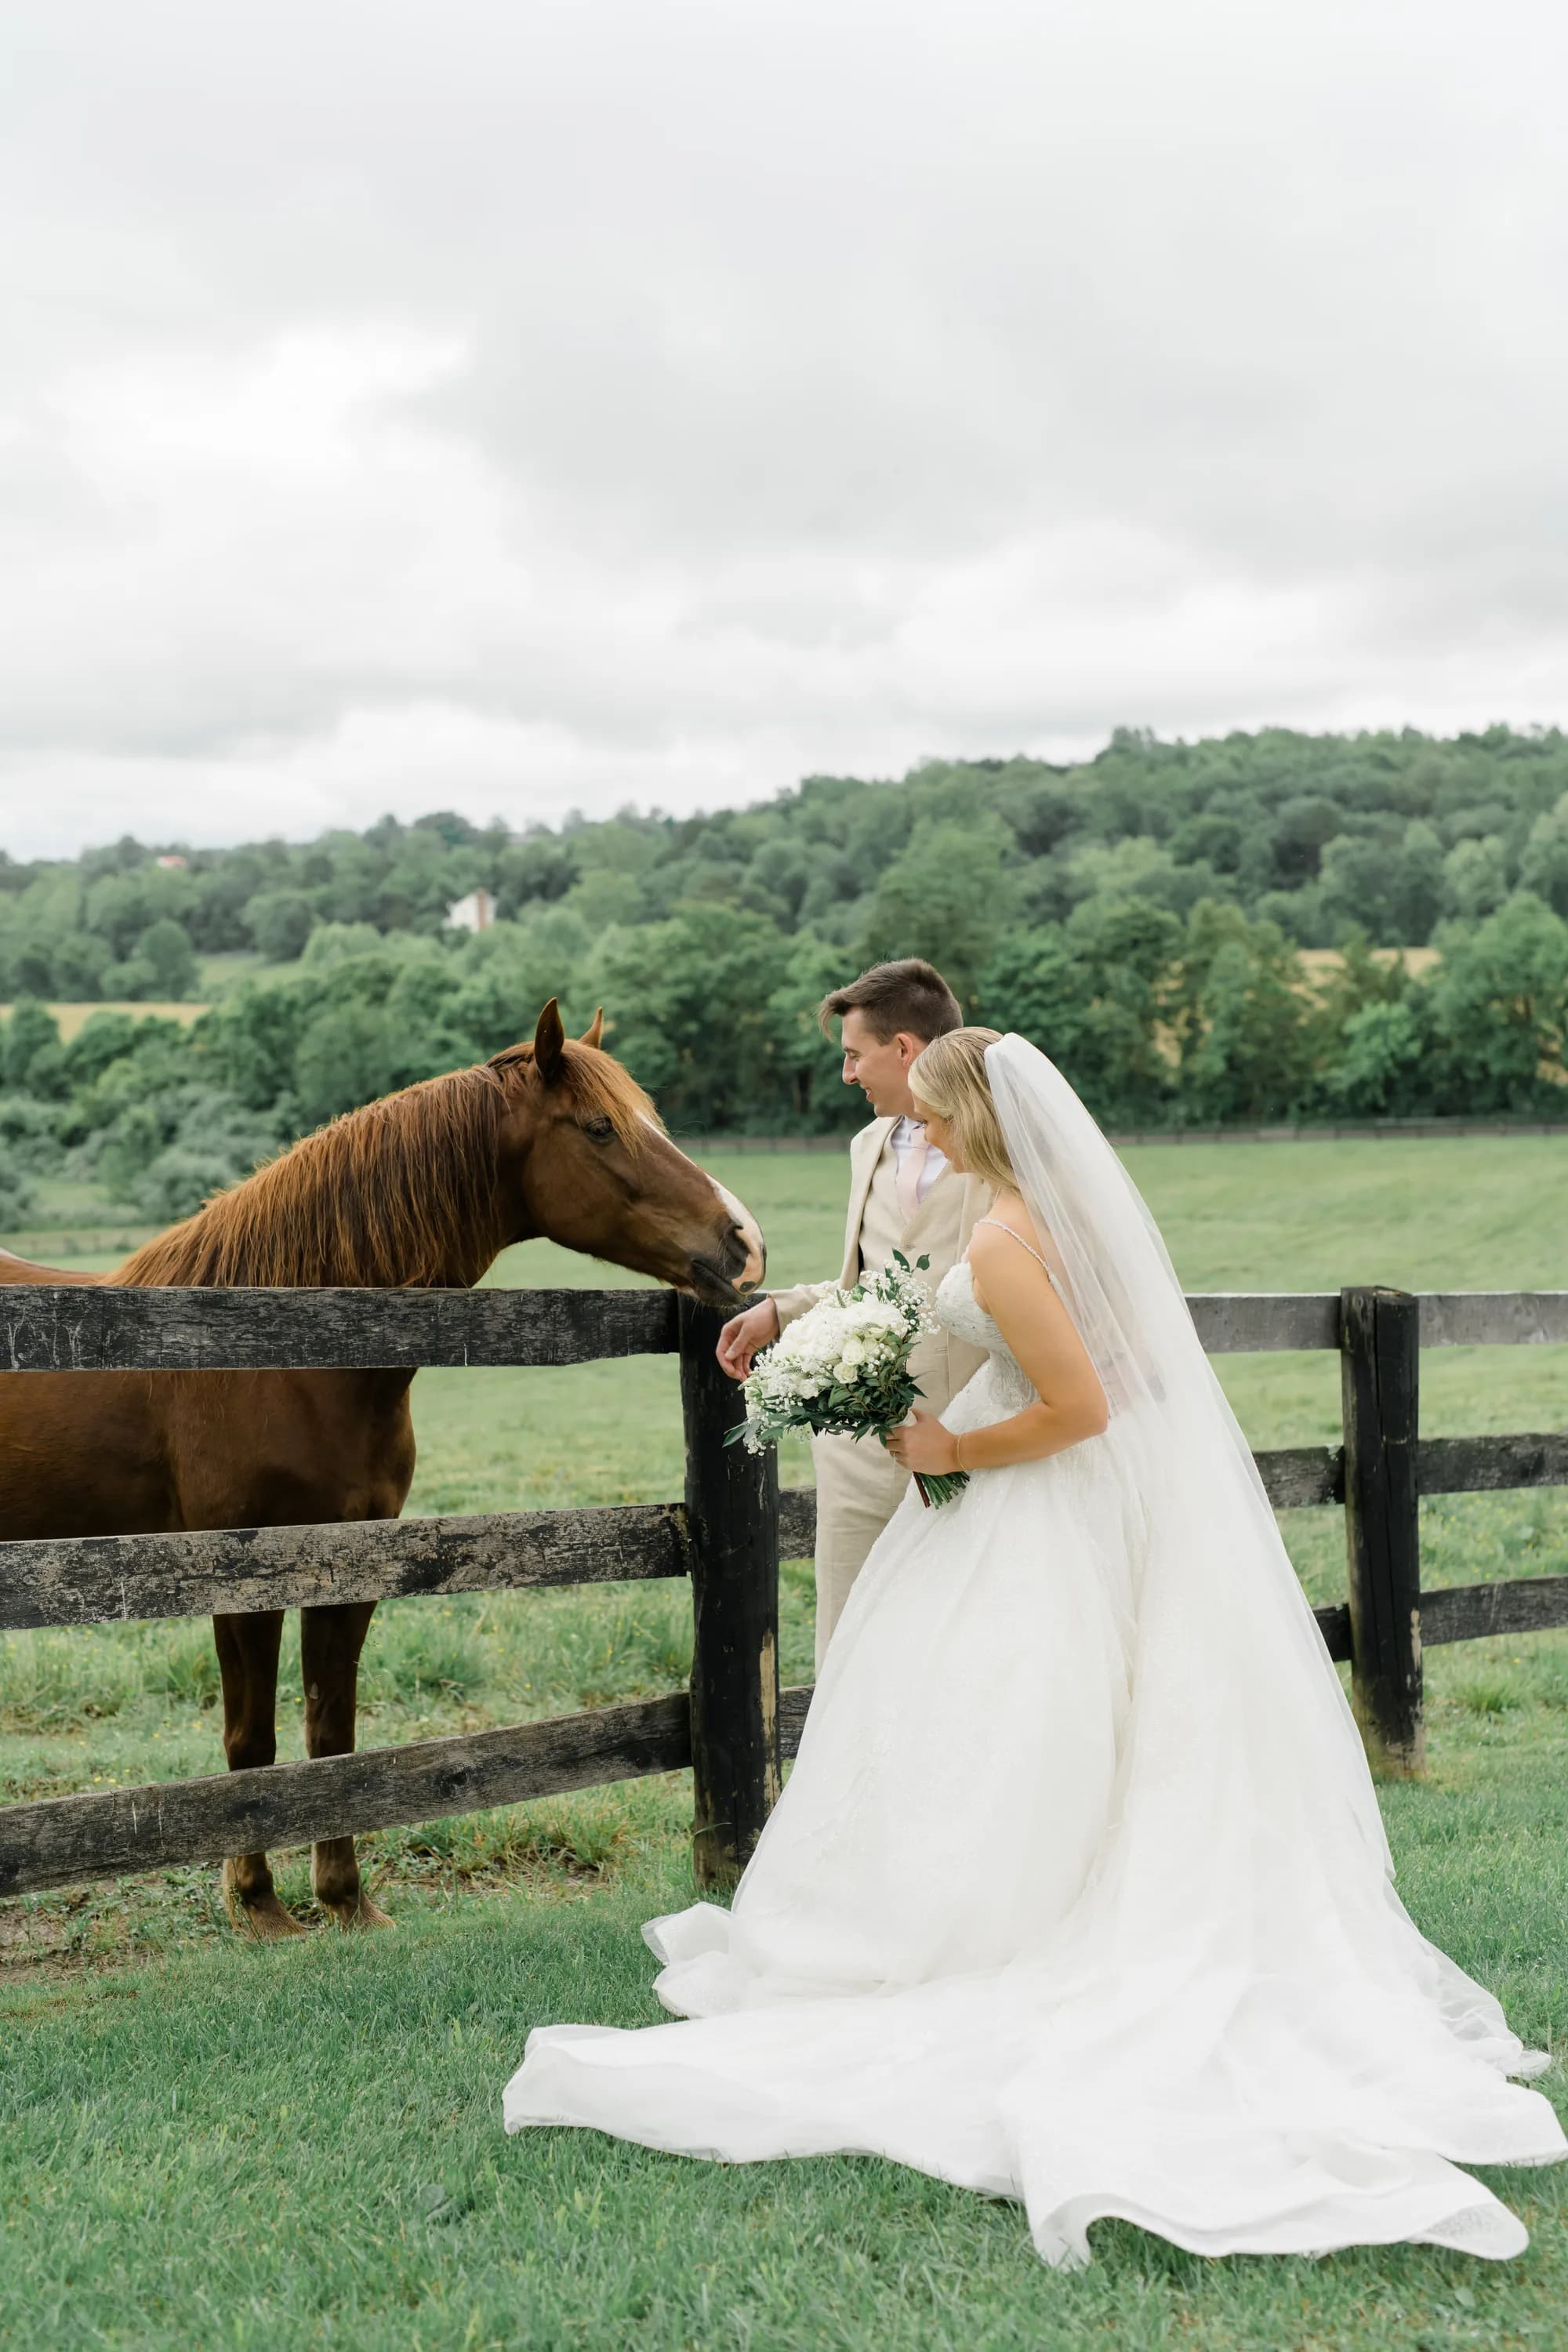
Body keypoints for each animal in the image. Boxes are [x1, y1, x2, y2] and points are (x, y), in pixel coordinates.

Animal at [0, 1001, 765, 1939]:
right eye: (599, 1127)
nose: (743, 1244)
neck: (287, 1353)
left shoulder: (353, 1564)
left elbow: (333, 1734)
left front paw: (345, 1902)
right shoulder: (238, 1574)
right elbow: (251, 1742)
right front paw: (259, 1908)